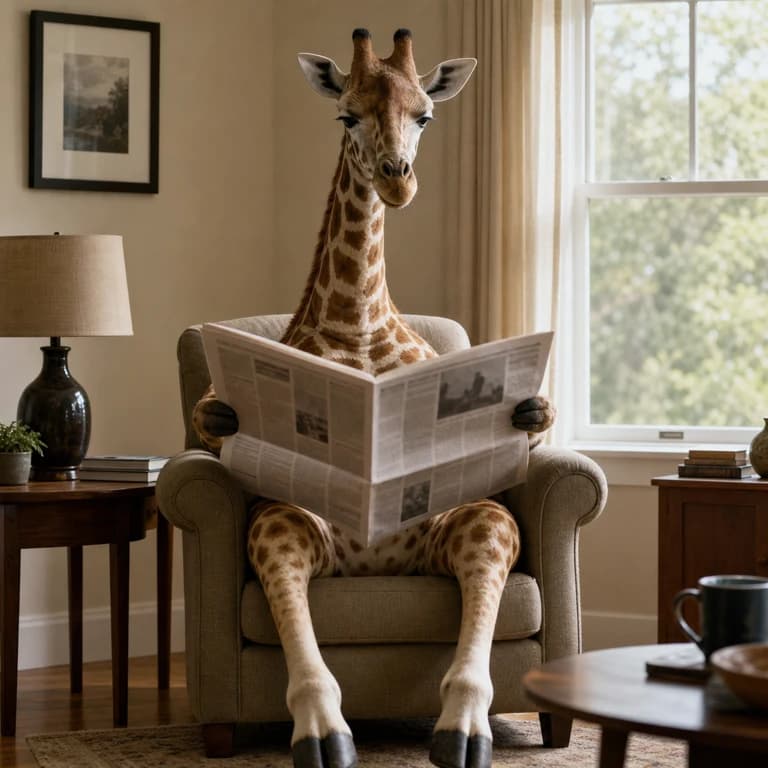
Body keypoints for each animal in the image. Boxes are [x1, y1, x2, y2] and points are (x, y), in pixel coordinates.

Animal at [193, 29, 555, 768]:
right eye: (346, 115)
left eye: (426, 116)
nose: (398, 180)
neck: (359, 322)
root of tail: (379, 562)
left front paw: (532, 413)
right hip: (294, 524)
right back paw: (326, 731)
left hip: (467, 522)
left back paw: (463, 729)